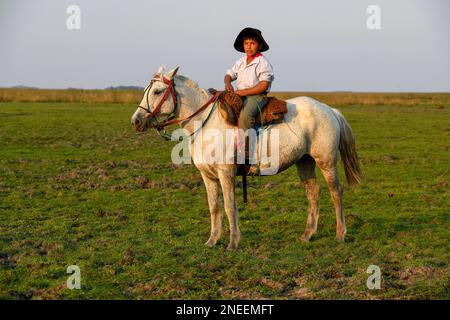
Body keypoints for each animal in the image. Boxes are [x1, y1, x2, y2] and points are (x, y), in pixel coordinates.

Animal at [131, 65, 362, 250]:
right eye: (146, 91)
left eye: (158, 91)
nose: (136, 121)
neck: (206, 123)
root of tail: (329, 109)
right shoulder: (208, 176)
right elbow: (214, 207)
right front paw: (212, 241)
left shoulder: (226, 173)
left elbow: (229, 206)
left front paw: (233, 243)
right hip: (304, 162)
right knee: (313, 193)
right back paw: (307, 235)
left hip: (326, 162)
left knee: (336, 192)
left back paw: (340, 234)